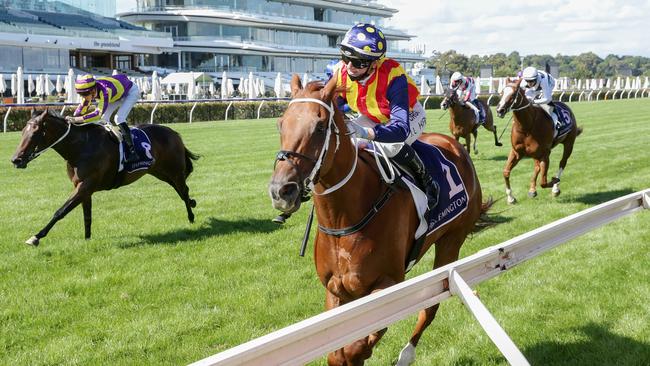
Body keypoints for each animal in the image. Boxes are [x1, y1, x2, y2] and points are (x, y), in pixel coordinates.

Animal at [10, 108, 197, 246]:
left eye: (35, 133)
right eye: (22, 131)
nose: (16, 160)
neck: (80, 147)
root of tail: (174, 133)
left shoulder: (86, 185)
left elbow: (61, 211)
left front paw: (36, 237)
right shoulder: (83, 187)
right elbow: (87, 215)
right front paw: (87, 239)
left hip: (174, 171)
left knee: (183, 190)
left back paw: (191, 216)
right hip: (160, 172)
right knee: (181, 191)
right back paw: (192, 204)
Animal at [268, 75, 486, 366]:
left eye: (320, 126)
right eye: (281, 124)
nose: (281, 190)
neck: (343, 219)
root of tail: (454, 145)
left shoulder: (389, 283)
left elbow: (356, 348)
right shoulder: (336, 289)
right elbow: (338, 354)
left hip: (451, 241)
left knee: (430, 306)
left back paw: (406, 354)